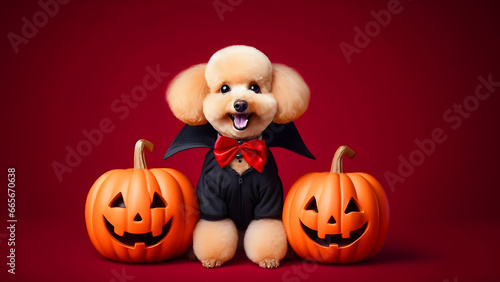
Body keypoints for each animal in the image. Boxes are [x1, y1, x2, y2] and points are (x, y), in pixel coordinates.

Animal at [166, 45, 310, 268]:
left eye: (255, 88)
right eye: (224, 88)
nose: (240, 104)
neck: (240, 148)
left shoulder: (269, 200)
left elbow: (266, 228)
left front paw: (268, 258)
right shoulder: (212, 200)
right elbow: (214, 228)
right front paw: (212, 257)